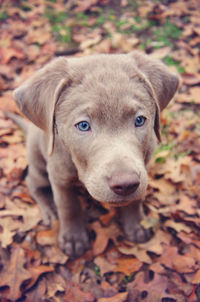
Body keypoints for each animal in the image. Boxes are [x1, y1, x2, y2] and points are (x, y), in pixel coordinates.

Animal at [10, 52, 180, 258]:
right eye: (83, 125)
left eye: (140, 120)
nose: (126, 184)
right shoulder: (59, 176)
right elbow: (68, 206)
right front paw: (73, 239)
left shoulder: (144, 165)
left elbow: (135, 199)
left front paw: (137, 225)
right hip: (38, 159)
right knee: (33, 181)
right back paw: (50, 208)